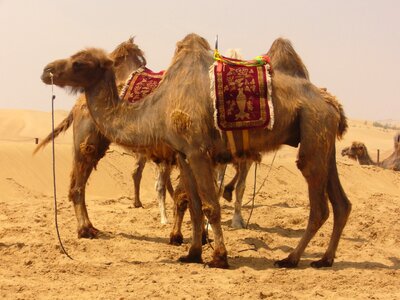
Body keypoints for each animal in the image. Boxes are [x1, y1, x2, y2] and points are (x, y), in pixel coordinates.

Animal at [42, 33, 352, 270]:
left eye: (79, 62)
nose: (47, 70)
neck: (158, 105)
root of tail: (332, 103)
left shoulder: (199, 151)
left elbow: (209, 205)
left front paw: (219, 258)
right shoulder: (183, 154)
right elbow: (192, 205)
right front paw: (191, 253)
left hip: (314, 130)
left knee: (320, 206)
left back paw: (291, 258)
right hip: (322, 138)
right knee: (342, 203)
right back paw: (324, 259)